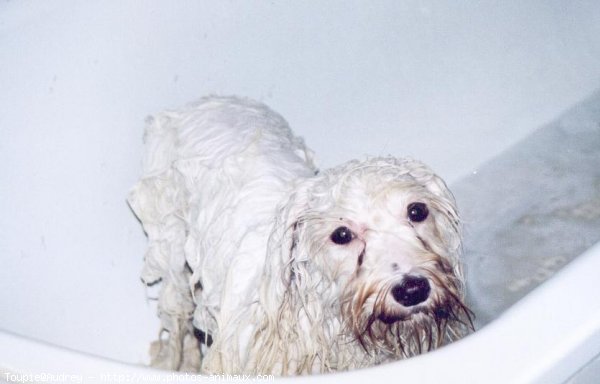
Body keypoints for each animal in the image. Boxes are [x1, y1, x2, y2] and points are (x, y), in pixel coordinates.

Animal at [127, 96, 474, 376]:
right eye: (341, 234)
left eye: (417, 211)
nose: (412, 289)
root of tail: (205, 100)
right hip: (170, 246)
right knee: (177, 318)